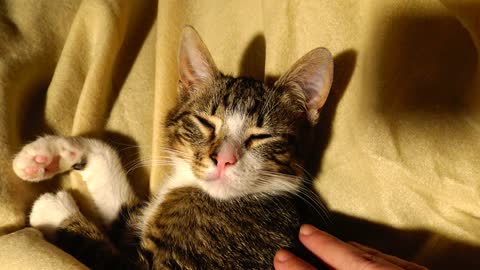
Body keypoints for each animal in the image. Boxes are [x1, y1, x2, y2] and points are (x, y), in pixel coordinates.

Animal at [12, 25, 334, 270]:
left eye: (261, 136)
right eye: (206, 122)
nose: (224, 159)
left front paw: (52, 208)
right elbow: (110, 169)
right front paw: (46, 155)